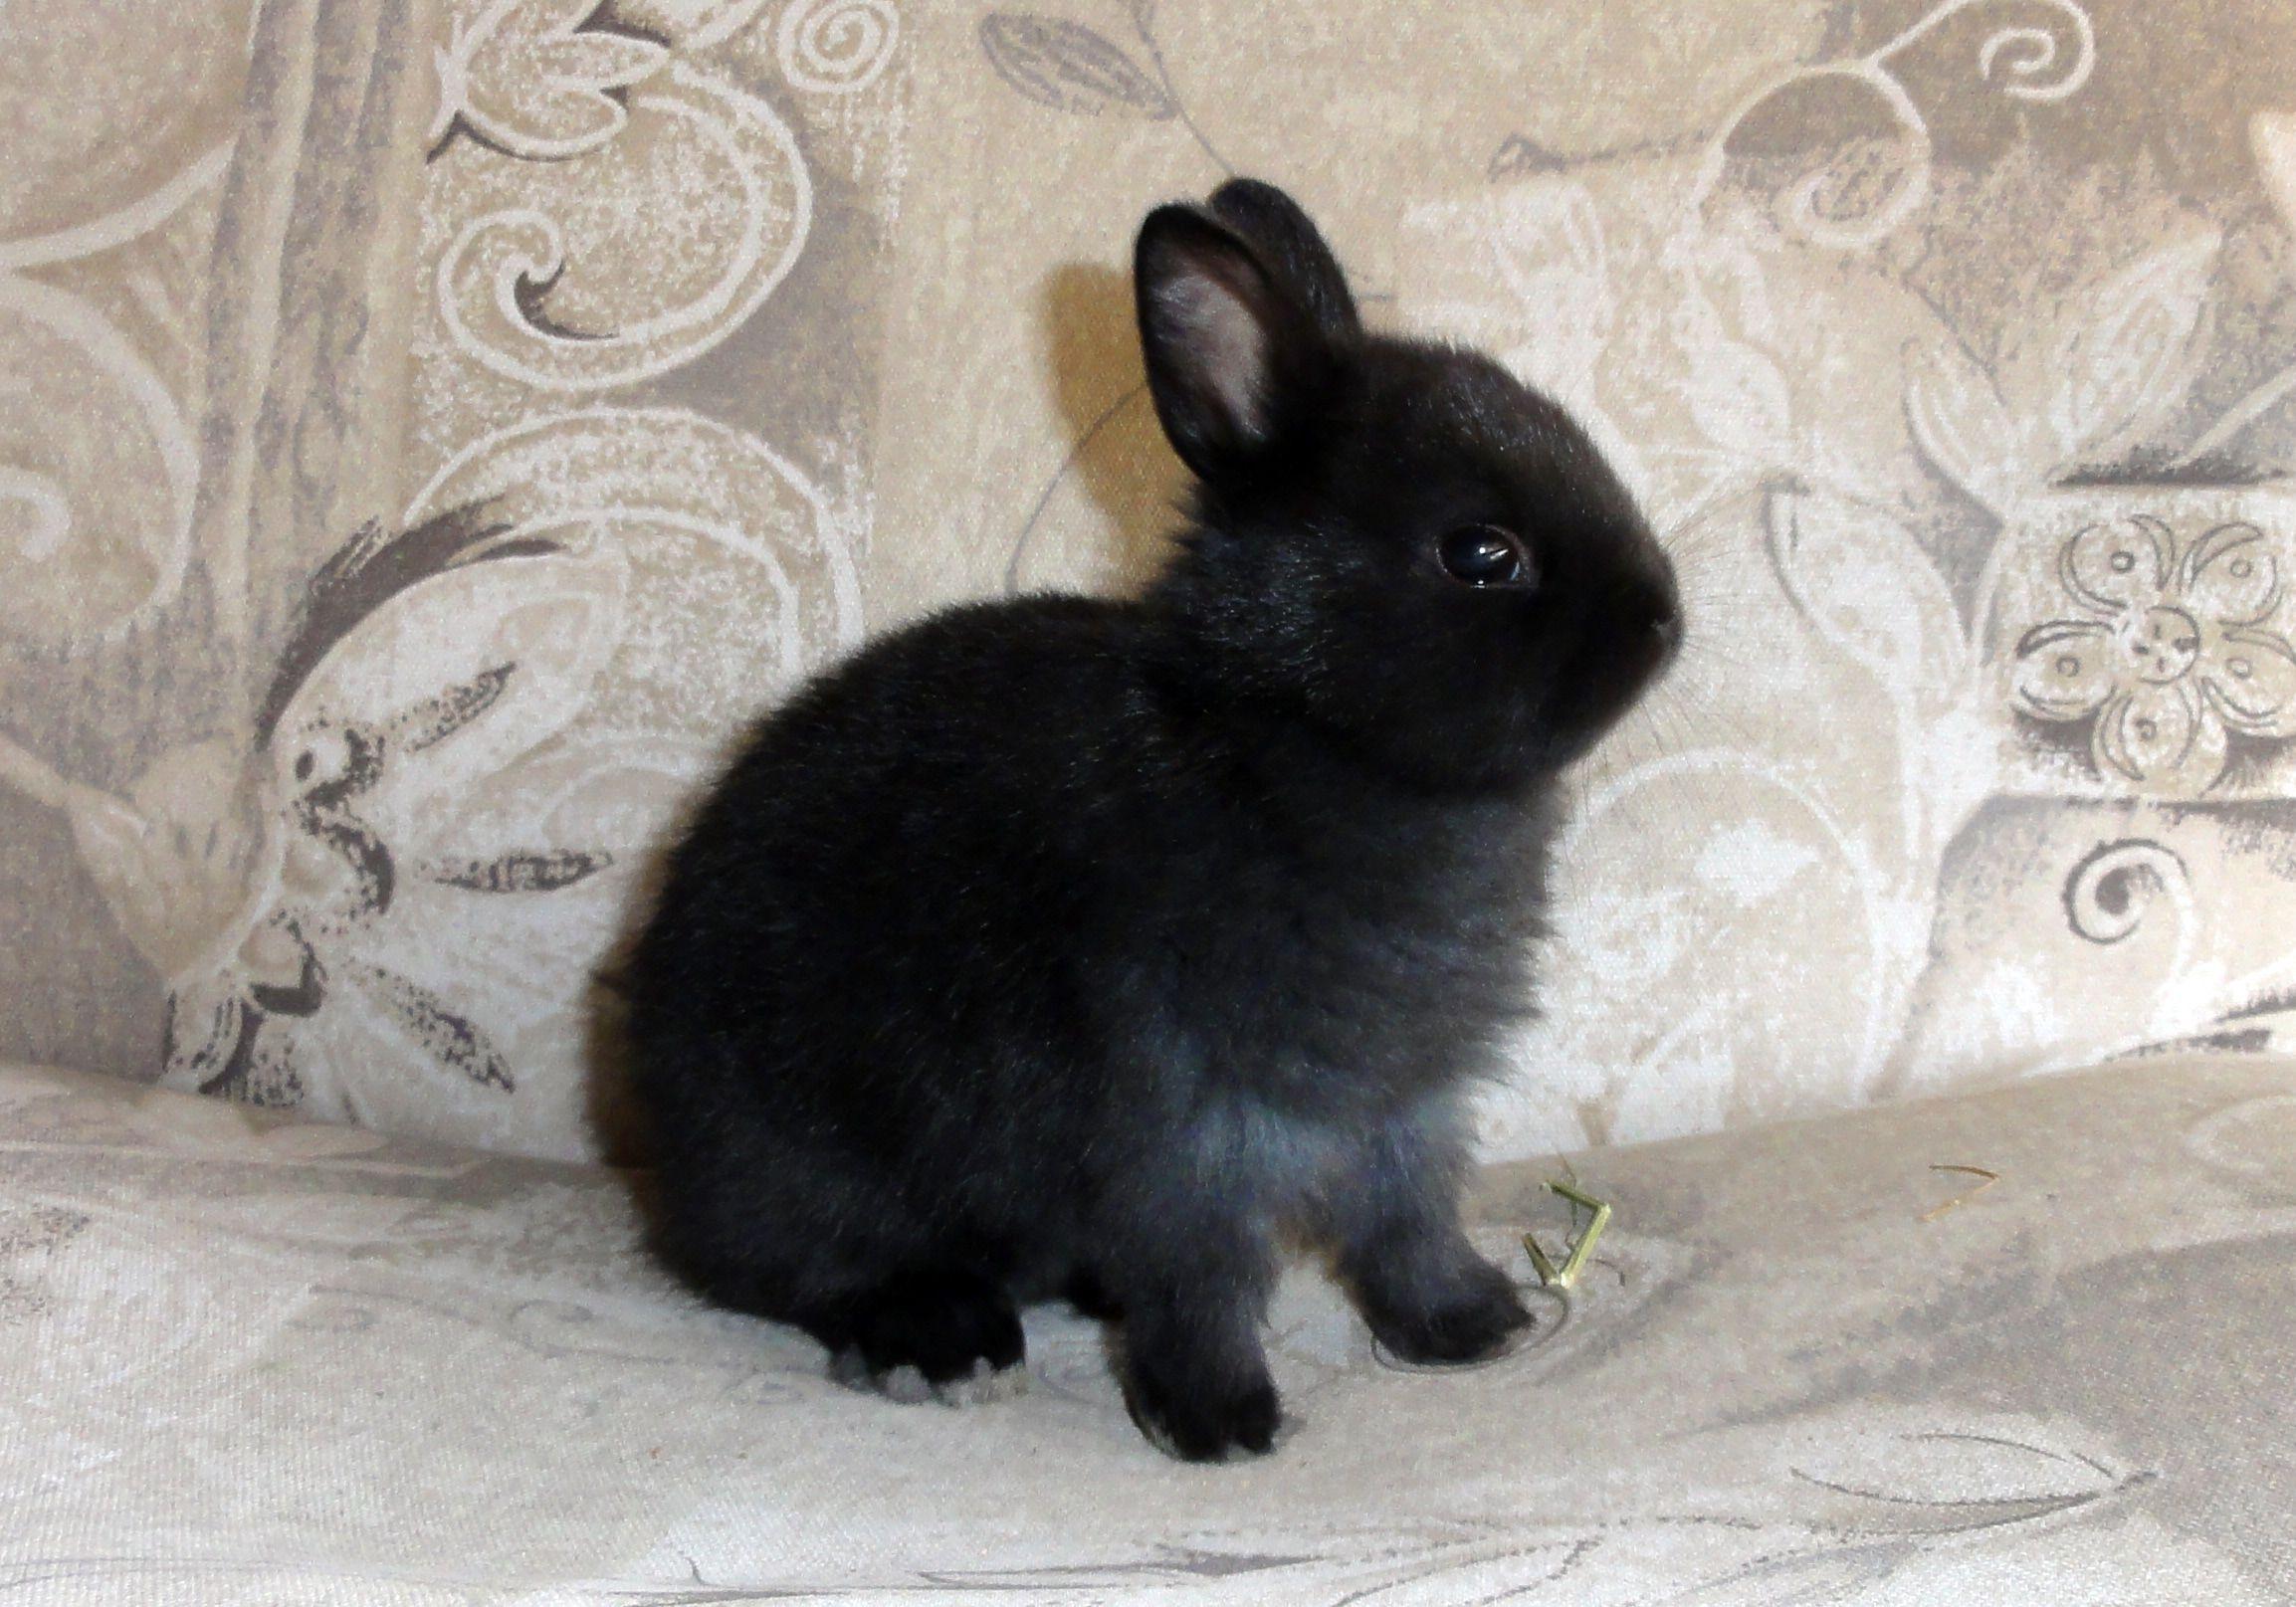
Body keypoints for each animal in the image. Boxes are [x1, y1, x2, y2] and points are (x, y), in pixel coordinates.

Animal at [623, 178, 1681, 1461]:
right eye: (1483, 553)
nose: (1664, 619)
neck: (1301, 734)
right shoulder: (1176, 1125)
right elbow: (1203, 1280)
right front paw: (1221, 1424)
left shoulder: (1407, 1105)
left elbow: (1406, 1224)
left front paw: (1475, 1326)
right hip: (797, 1163)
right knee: (809, 1272)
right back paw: (946, 1343)